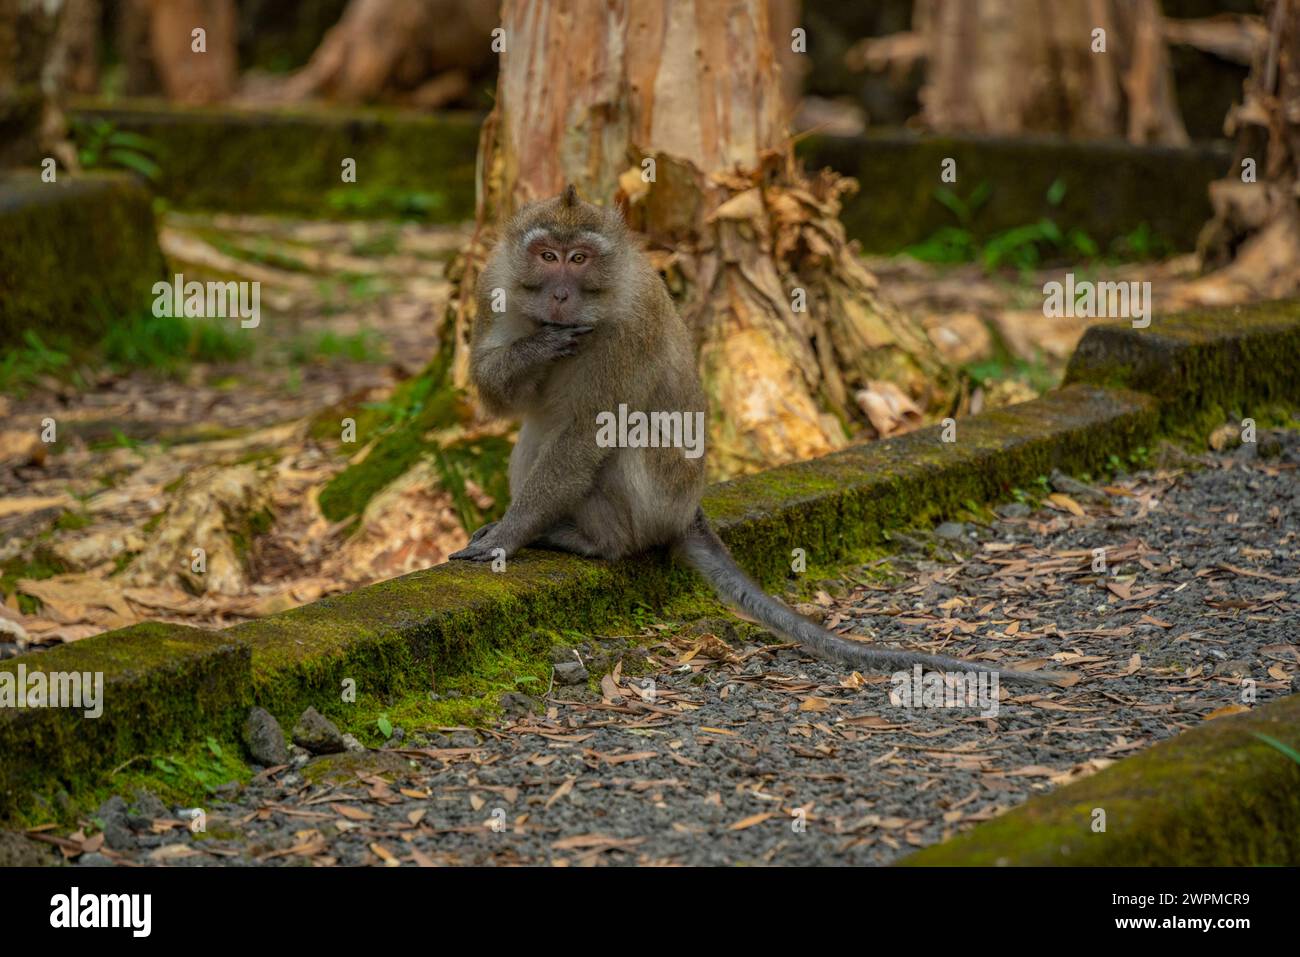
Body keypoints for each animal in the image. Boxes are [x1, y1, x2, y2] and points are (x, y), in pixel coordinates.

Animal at [452, 183, 1060, 686]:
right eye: (547, 256)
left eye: (579, 259)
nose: (559, 295)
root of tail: (689, 511)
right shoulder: (491, 282)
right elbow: (496, 395)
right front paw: (536, 347)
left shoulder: (629, 326)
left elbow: (588, 431)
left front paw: (510, 536)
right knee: (537, 431)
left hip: (654, 507)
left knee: (617, 441)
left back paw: (594, 542)